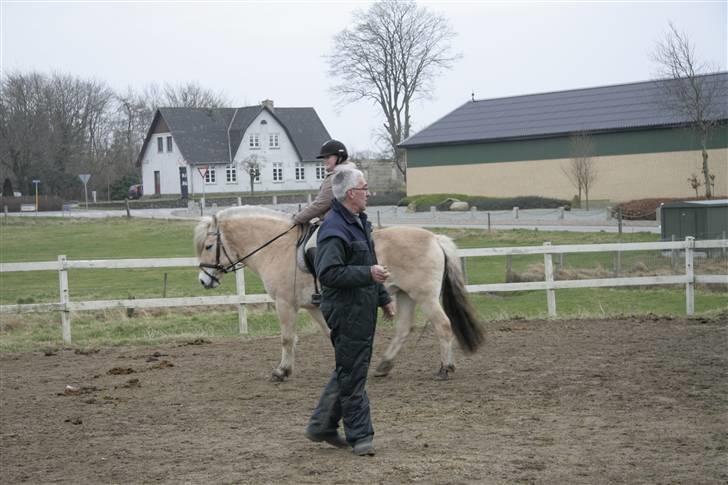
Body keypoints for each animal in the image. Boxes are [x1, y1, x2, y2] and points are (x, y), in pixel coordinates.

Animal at [196, 206, 486, 380]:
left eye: (209, 246)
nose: (204, 281)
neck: (277, 248)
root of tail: (435, 238)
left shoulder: (285, 303)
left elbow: (287, 338)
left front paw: (282, 371)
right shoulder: (313, 306)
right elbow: (330, 334)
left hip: (424, 296)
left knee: (444, 326)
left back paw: (445, 369)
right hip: (405, 294)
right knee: (404, 329)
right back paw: (384, 366)